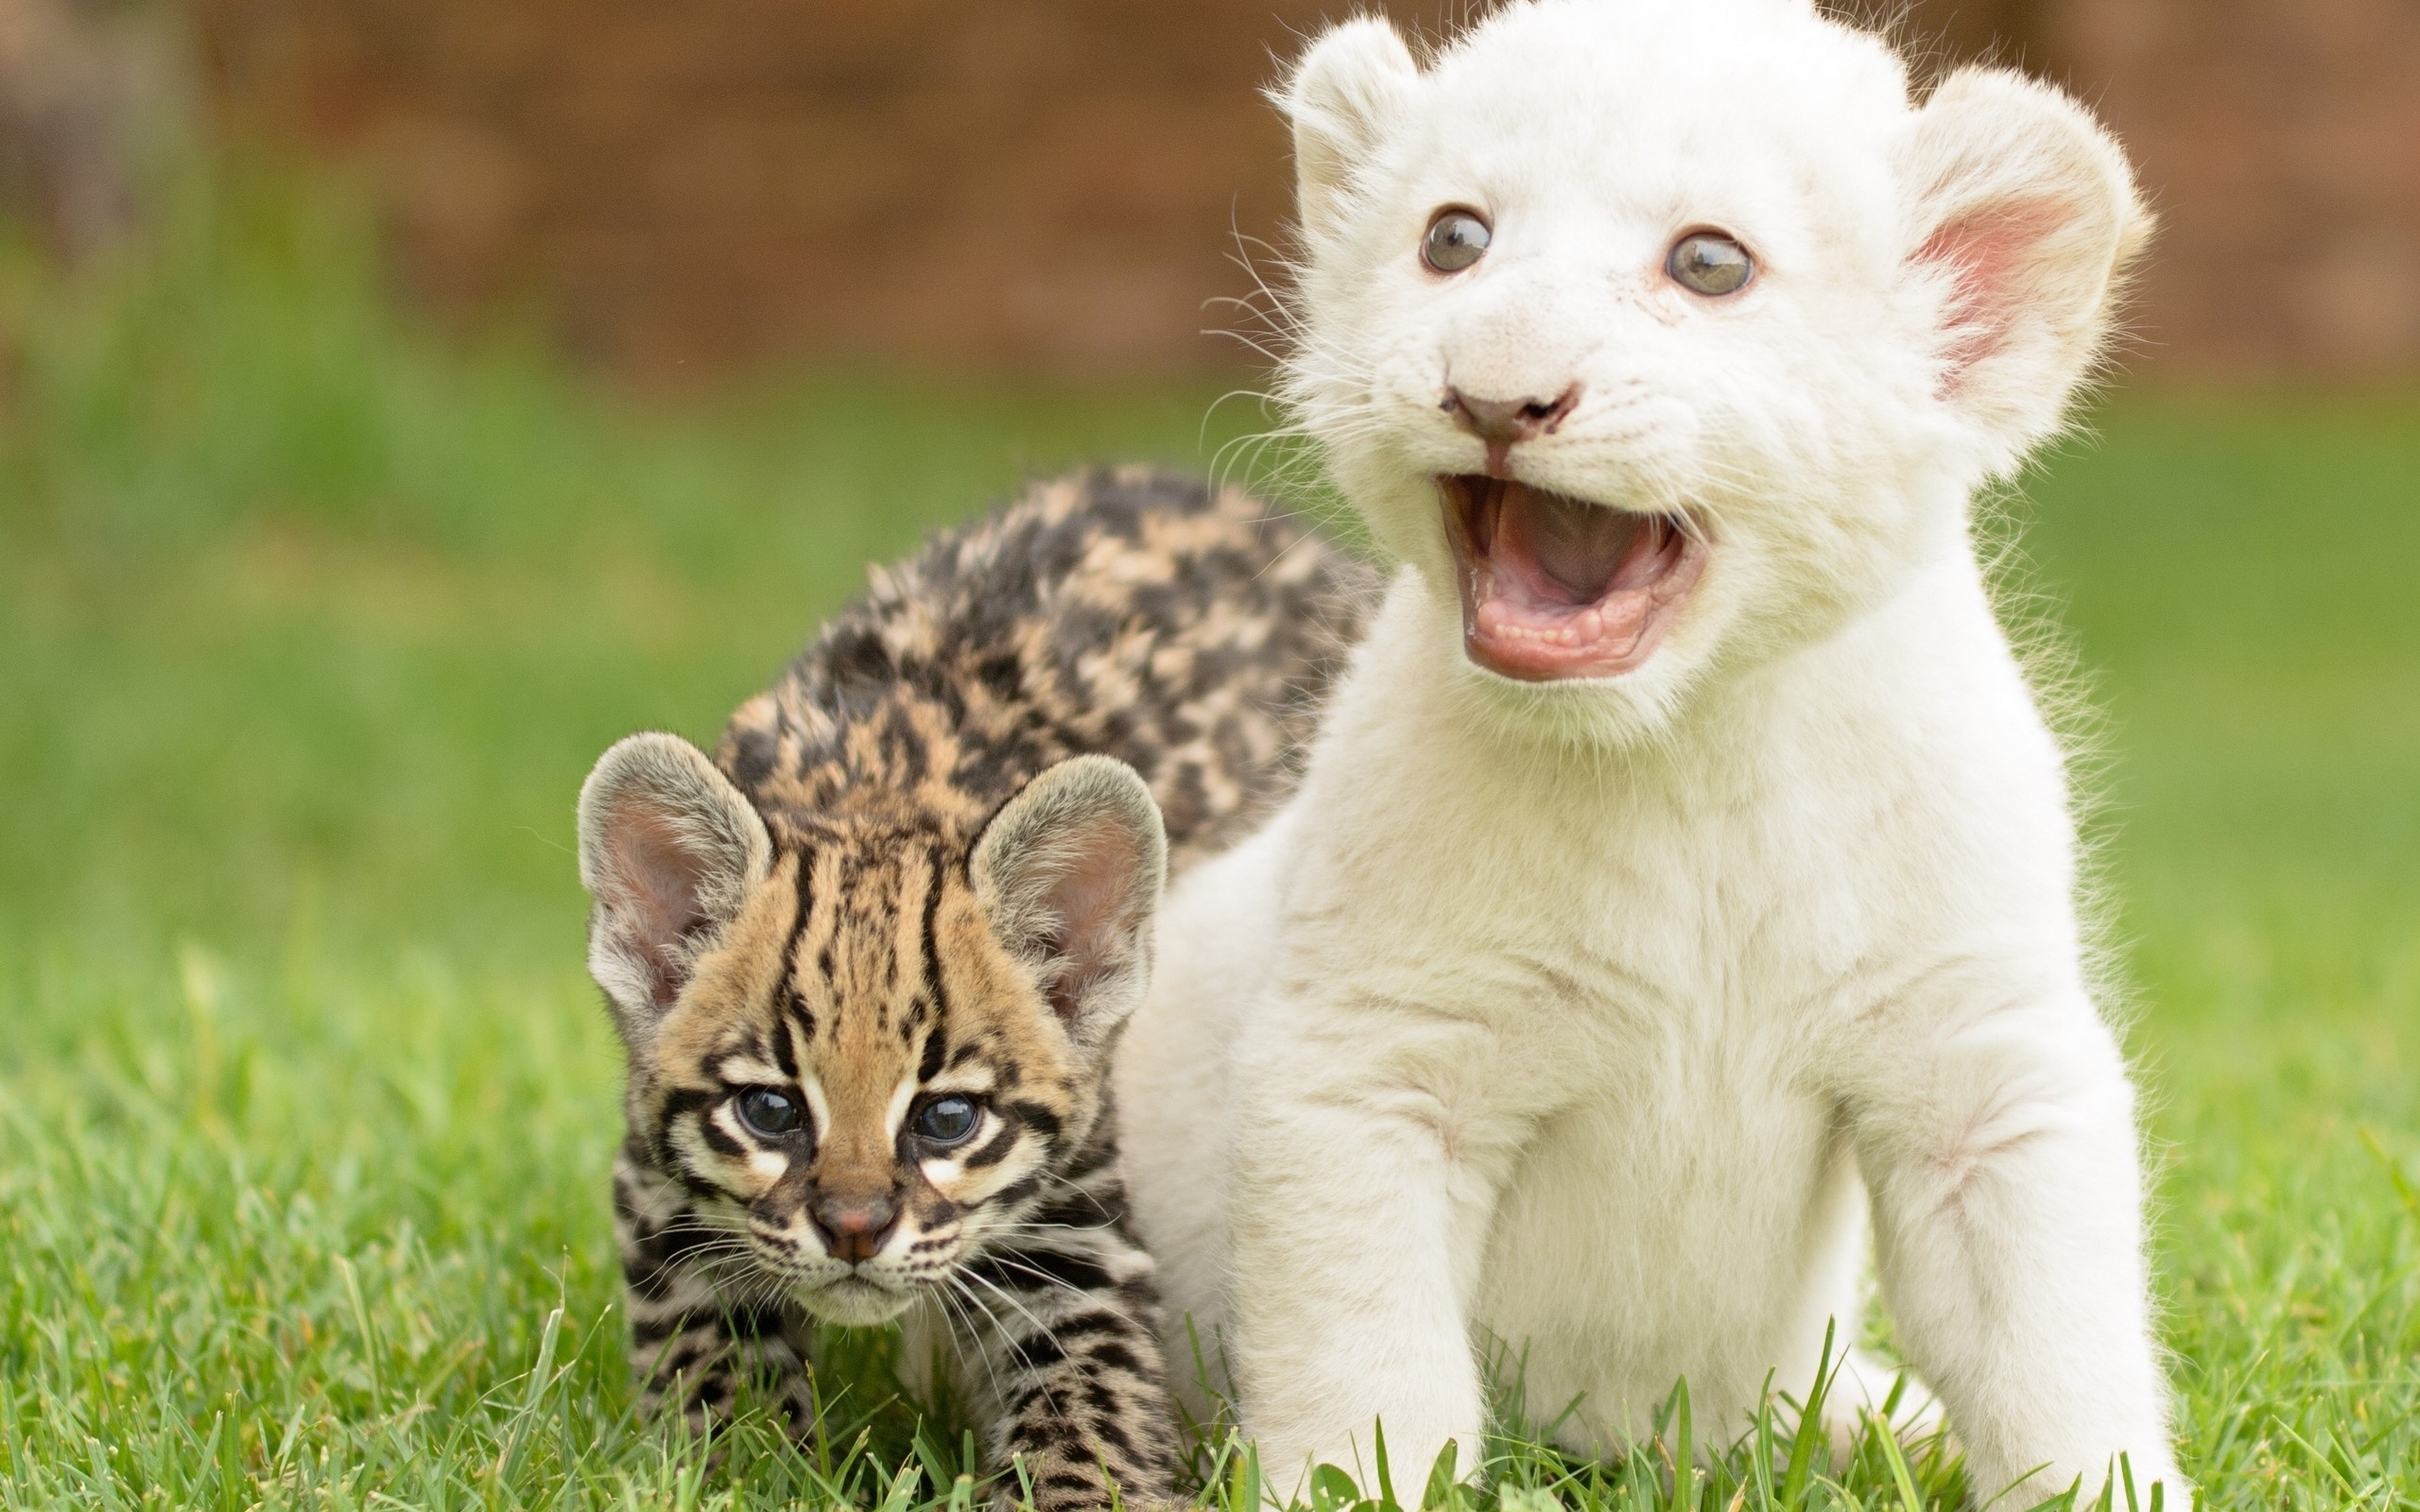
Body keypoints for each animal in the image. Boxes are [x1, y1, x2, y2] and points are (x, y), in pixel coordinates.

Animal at [563, 467, 1364, 1500]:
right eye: (769, 1110)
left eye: (948, 1118)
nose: (854, 1230)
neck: (873, 795)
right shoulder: (663, 1197)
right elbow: (719, 1373)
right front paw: (748, 1472)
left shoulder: (1076, 1233)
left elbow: (1089, 1412)